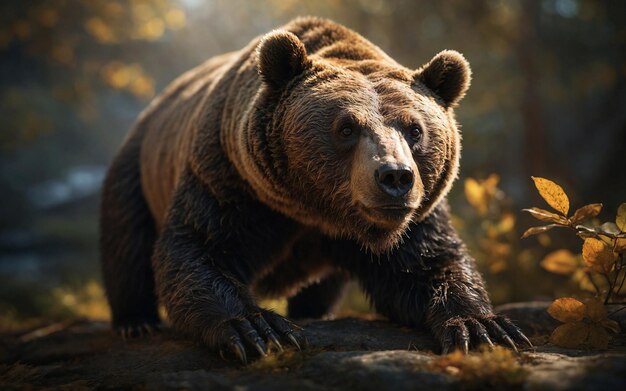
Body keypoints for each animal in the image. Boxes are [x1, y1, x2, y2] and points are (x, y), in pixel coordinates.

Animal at [100, 16, 528, 364]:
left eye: (415, 130)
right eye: (346, 127)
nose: (395, 177)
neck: (316, 210)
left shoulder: (414, 215)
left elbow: (429, 262)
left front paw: (484, 327)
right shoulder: (230, 181)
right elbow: (198, 246)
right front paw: (258, 329)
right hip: (137, 167)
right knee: (128, 239)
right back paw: (135, 320)